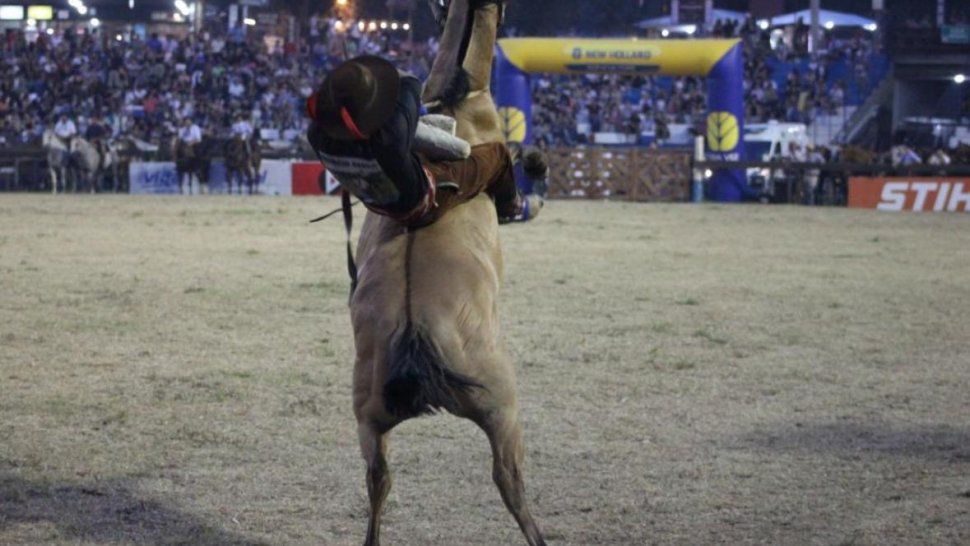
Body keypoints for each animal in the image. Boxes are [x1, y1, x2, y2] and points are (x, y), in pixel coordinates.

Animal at [348, 1, 544, 544]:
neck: (457, 100)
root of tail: (416, 339)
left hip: (368, 417)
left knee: (378, 479)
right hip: (502, 407)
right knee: (508, 480)